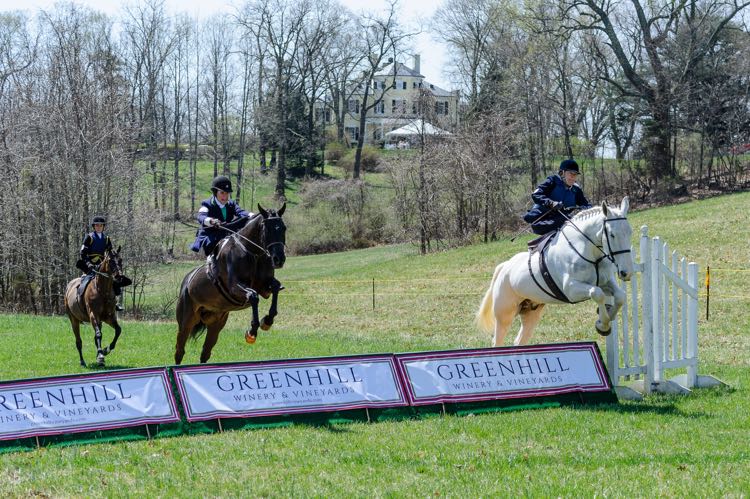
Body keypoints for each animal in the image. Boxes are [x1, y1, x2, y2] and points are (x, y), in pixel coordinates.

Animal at [176, 205, 288, 366]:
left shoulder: (264, 287)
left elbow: (275, 288)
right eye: (267, 229)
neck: (253, 254)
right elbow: (253, 296)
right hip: (186, 321)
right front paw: (252, 332)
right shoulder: (234, 288)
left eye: (283, 228)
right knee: (180, 350)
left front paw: (267, 321)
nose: (279, 259)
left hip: (216, 323)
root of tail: (186, 281)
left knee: (205, 352)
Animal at [478, 197, 632, 346]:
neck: (590, 251)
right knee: (498, 340)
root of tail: (504, 266)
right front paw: (603, 325)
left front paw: (605, 318)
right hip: (505, 315)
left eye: (630, 232)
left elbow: (620, 296)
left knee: (520, 340)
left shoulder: (606, 281)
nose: (626, 273)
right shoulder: (571, 290)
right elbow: (597, 293)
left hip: (531, 312)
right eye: (612, 235)